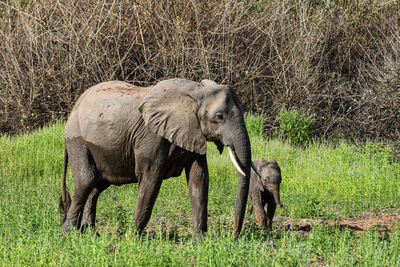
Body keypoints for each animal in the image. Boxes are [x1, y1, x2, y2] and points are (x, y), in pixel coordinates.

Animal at [60, 78, 256, 238]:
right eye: (219, 117)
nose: (234, 236)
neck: (195, 92)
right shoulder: (151, 137)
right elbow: (151, 180)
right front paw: (132, 238)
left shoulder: (193, 133)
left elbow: (198, 179)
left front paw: (201, 241)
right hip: (77, 139)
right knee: (86, 180)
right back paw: (69, 233)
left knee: (97, 185)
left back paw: (90, 233)